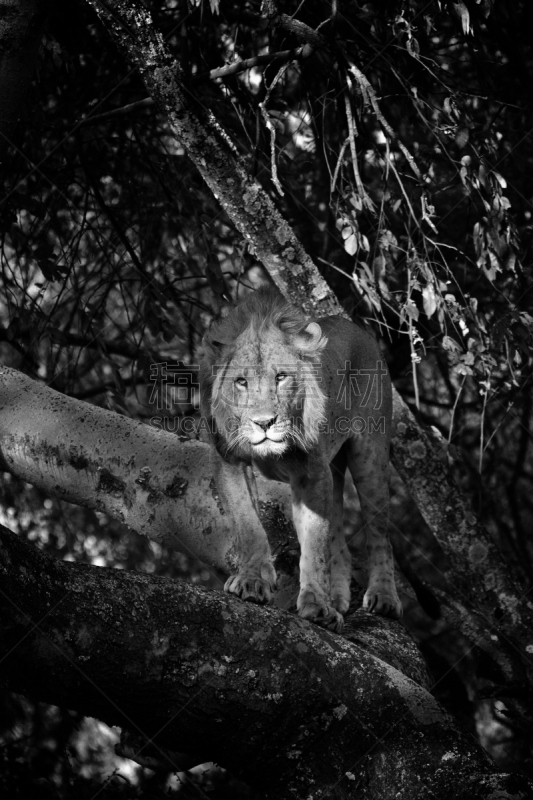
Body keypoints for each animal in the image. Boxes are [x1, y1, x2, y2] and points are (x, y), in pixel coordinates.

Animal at [200, 288, 400, 632]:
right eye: (241, 382)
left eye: (281, 377)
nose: (264, 422)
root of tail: (357, 328)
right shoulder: (229, 459)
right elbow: (247, 522)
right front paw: (252, 581)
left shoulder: (312, 474)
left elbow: (314, 543)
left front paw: (317, 605)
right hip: (335, 470)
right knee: (340, 542)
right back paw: (338, 599)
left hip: (369, 458)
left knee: (379, 535)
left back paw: (383, 597)